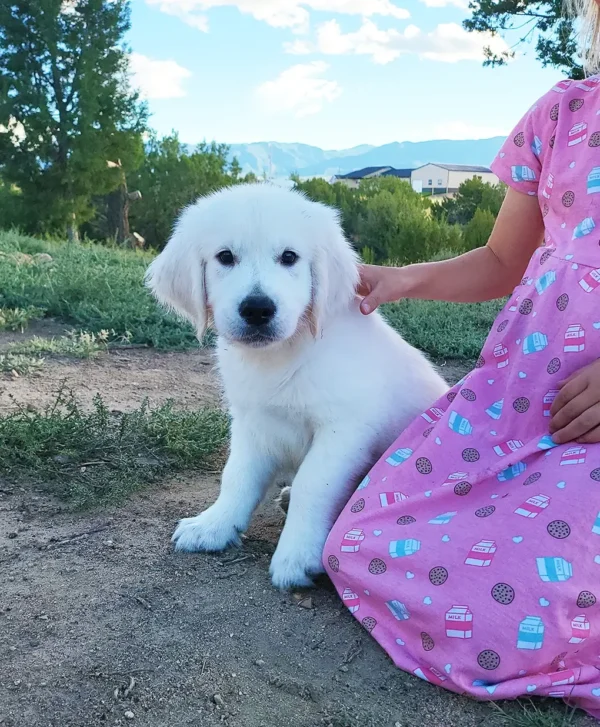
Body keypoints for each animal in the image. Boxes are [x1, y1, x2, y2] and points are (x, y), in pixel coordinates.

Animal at [144, 182, 446, 592]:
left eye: (289, 257)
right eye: (225, 257)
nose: (257, 309)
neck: (281, 357)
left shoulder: (343, 430)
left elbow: (312, 485)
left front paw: (297, 555)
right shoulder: (251, 423)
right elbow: (236, 476)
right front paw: (214, 525)